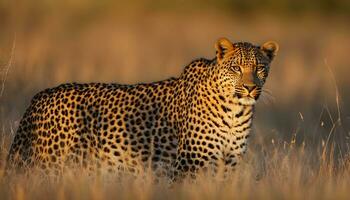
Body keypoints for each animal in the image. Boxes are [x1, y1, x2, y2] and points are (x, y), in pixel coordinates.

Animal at [6, 37, 278, 178]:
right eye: (236, 68)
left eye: (260, 69)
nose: (251, 88)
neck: (236, 112)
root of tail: (38, 97)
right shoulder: (187, 165)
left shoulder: (227, 166)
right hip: (48, 166)